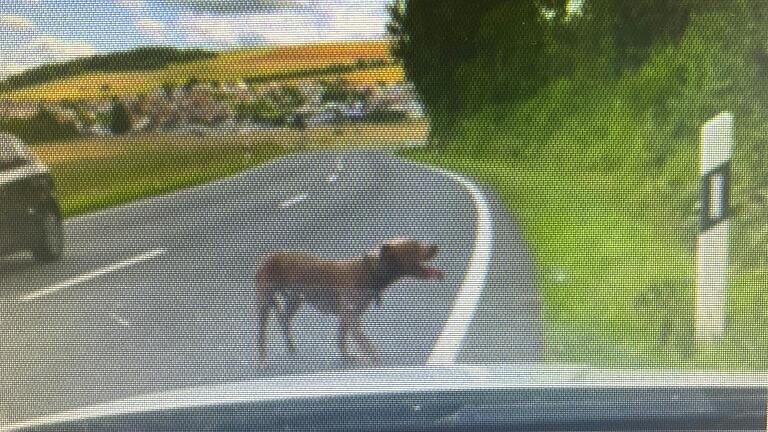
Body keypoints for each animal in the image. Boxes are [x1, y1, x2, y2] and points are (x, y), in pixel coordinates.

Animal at [255, 238, 440, 366]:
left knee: (283, 320)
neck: (370, 271)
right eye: (414, 247)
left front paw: (360, 357)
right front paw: (362, 359)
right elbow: (352, 342)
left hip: (296, 299)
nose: (435, 246)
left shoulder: (352, 317)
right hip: (265, 302)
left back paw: (290, 345)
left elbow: (352, 340)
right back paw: (262, 359)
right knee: (262, 332)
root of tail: (266, 257)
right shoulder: (349, 316)